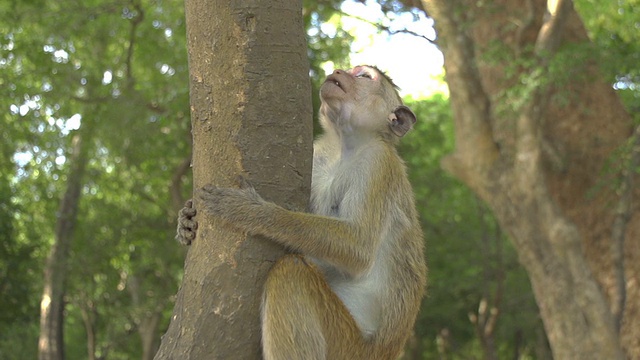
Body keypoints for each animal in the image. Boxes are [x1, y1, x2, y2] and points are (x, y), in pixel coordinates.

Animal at [175, 65, 428, 360]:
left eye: (364, 76)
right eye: (350, 70)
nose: (338, 71)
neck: (344, 148)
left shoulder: (378, 163)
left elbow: (358, 246)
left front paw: (252, 211)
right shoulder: (318, 158)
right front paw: (185, 221)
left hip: (347, 347)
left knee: (291, 272)